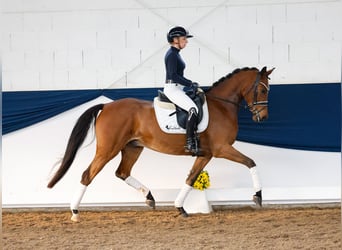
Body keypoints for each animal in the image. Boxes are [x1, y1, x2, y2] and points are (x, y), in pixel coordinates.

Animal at [48, 66, 274, 221]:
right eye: (263, 91)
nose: (262, 118)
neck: (222, 106)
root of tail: (107, 106)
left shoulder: (206, 154)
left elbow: (191, 178)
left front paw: (180, 207)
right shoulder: (221, 149)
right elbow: (251, 162)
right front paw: (258, 196)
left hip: (132, 148)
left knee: (122, 172)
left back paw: (149, 197)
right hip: (108, 150)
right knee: (88, 175)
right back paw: (75, 212)